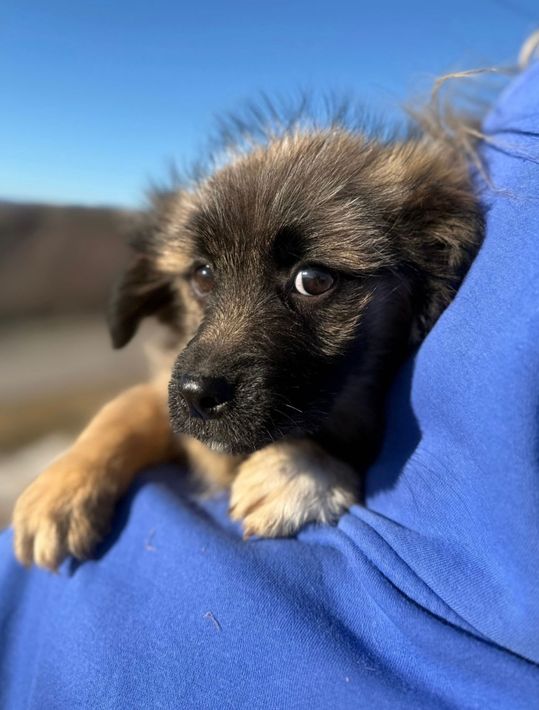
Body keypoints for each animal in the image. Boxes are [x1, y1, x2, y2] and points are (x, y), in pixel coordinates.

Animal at [12, 99, 483, 570]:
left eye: (313, 280)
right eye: (202, 276)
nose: (196, 396)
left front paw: (295, 472)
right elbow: (130, 406)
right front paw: (61, 489)